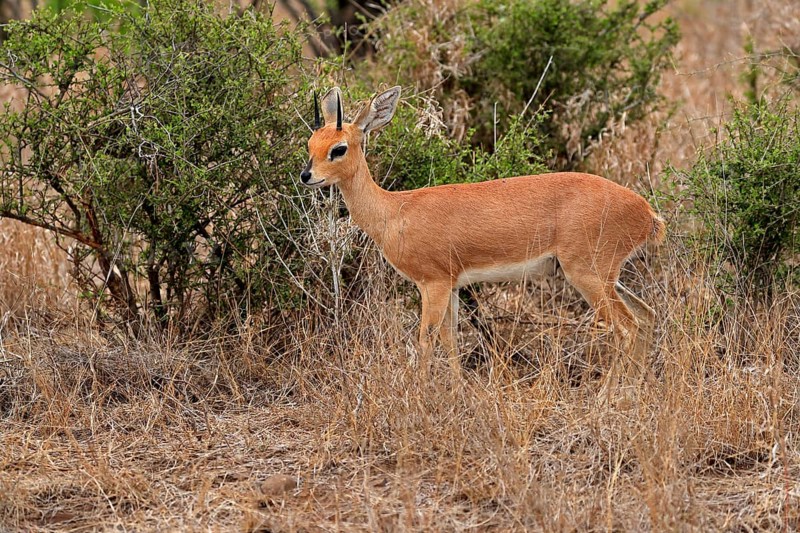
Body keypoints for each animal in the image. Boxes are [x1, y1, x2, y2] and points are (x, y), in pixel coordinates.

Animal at [300, 86, 664, 375]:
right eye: (310, 143)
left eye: (339, 148)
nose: (307, 176)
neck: (395, 211)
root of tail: (646, 212)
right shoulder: (451, 286)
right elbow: (450, 339)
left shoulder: (433, 284)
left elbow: (426, 340)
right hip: (606, 276)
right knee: (646, 317)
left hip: (587, 275)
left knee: (627, 328)